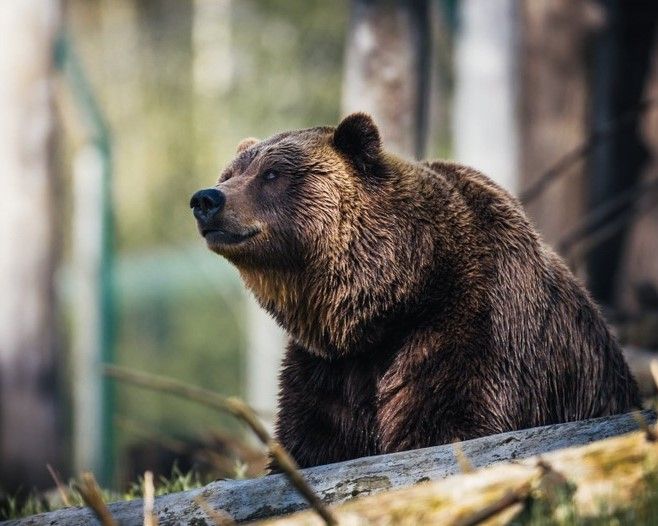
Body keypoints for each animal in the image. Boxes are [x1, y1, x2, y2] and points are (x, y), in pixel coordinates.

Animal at [188, 112, 636, 470]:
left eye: (272, 174)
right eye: (230, 174)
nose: (206, 199)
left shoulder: (474, 329)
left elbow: (451, 423)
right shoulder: (329, 369)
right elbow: (312, 440)